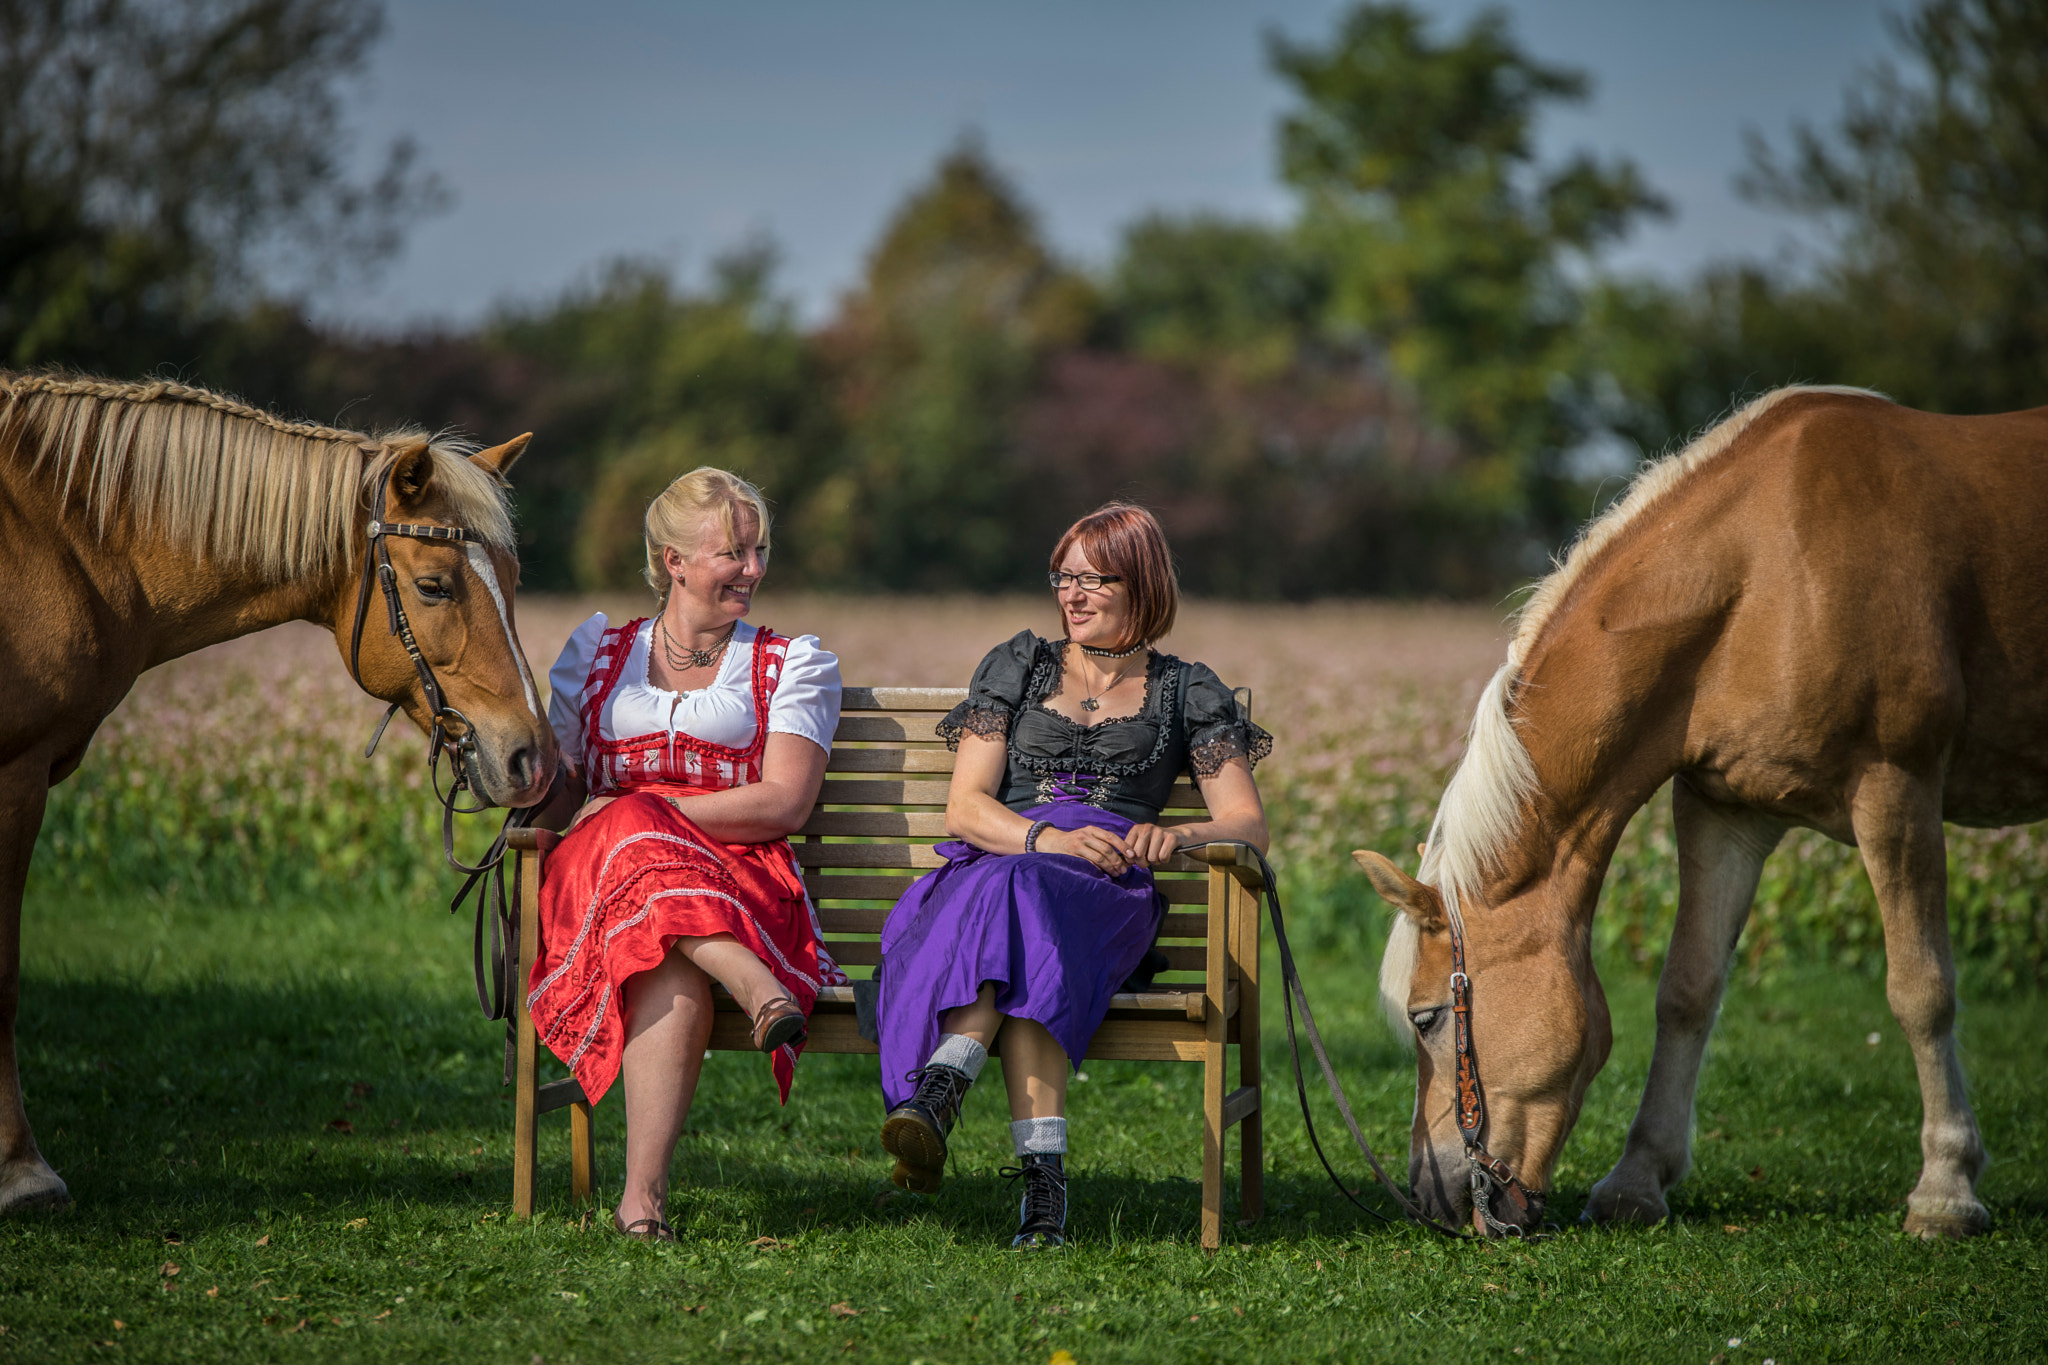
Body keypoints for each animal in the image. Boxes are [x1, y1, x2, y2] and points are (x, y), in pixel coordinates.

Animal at [0, 374, 561, 1219]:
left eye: (518, 581)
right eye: (434, 585)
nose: (531, 755)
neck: (66, 546)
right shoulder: (15, 775)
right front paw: (22, 1171)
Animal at [1351, 382, 2039, 1236]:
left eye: (1425, 1017)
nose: (1432, 1198)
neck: (1767, 572)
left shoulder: (1897, 786)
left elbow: (1922, 989)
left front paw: (1946, 1189)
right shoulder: (1723, 811)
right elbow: (1687, 988)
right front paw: (1636, 1180)